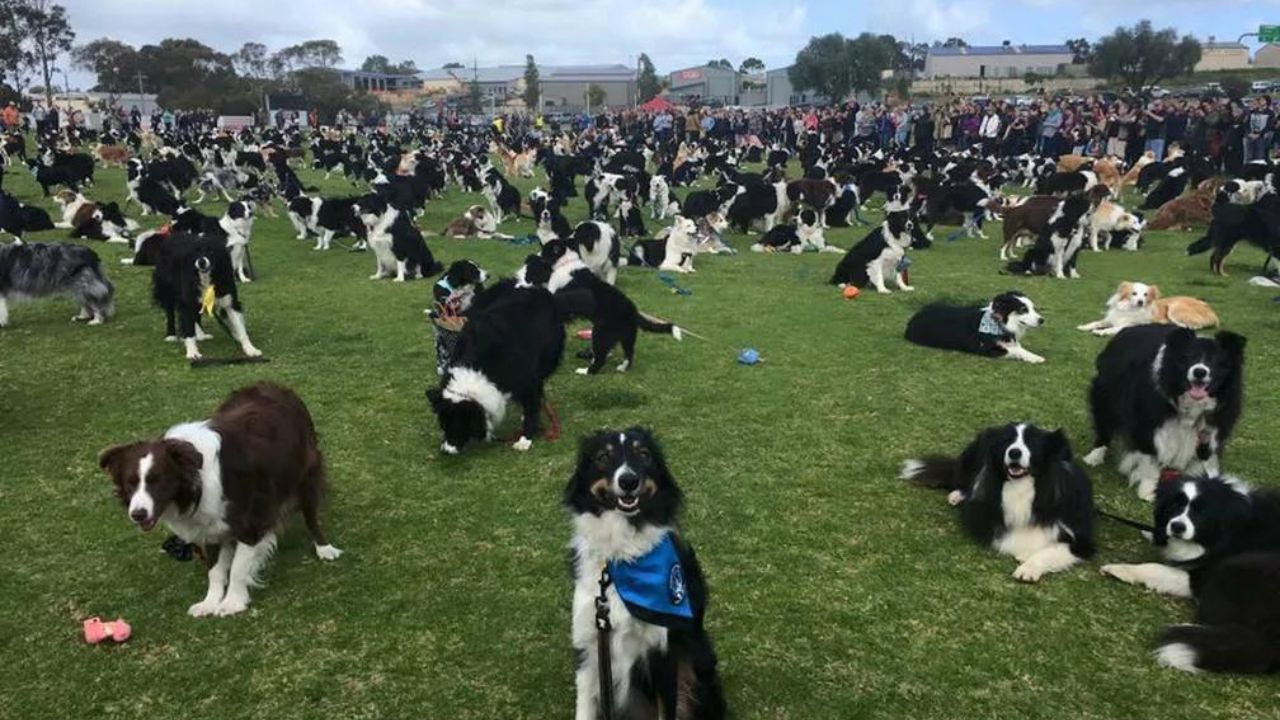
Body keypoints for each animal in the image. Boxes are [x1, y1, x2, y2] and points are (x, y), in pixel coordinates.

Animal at [1080, 280, 1218, 335]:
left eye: (1146, 294)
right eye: (1134, 293)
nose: (1141, 302)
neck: (1130, 309)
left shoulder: (1131, 325)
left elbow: (1115, 328)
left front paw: (1102, 331)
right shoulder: (1111, 319)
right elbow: (1096, 322)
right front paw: (1084, 326)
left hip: (1175, 307)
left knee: (1193, 326)